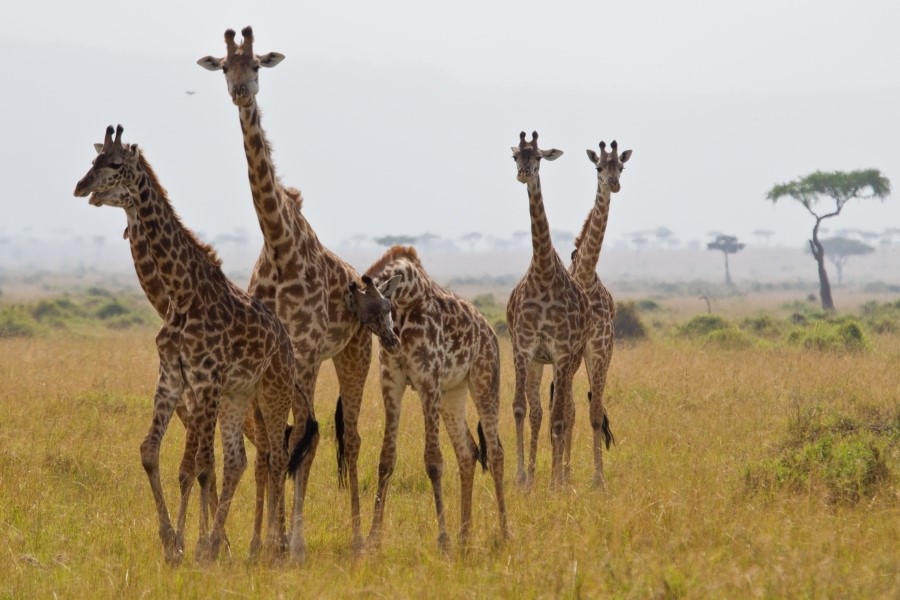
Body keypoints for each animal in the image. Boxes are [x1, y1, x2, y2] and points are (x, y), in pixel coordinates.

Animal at [74, 125, 320, 564]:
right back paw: (239, 544)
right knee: (241, 460)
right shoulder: (172, 377)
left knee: (277, 457)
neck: (181, 290)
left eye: (115, 164)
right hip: (239, 395)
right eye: (93, 161)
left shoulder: (205, 380)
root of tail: (286, 344)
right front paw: (173, 542)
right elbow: (152, 452)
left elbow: (198, 465)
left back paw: (274, 548)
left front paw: (194, 546)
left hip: (271, 391)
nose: (81, 187)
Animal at [199, 27, 374, 552]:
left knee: (347, 438)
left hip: (353, 353)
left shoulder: (308, 351)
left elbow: (301, 441)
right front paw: (263, 542)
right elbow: (271, 448)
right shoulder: (274, 356)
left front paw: (289, 543)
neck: (279, 245)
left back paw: (356, 537)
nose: (240, 92)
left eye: (256, 65)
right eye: (225, 67)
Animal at [344, 246, 510, 552]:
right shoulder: (391, 384)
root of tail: (492, 333)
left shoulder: (427, 382)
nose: (391, 341)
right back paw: (465, 536)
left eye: (385, 307)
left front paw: (442, 540)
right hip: (452, 395)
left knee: (496, 452)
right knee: (467, 452)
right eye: (363, 317)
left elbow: (433, 461)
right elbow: (386, 460)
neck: (405, 304)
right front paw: (373, 538)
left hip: (484, 381)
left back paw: (505, 533)